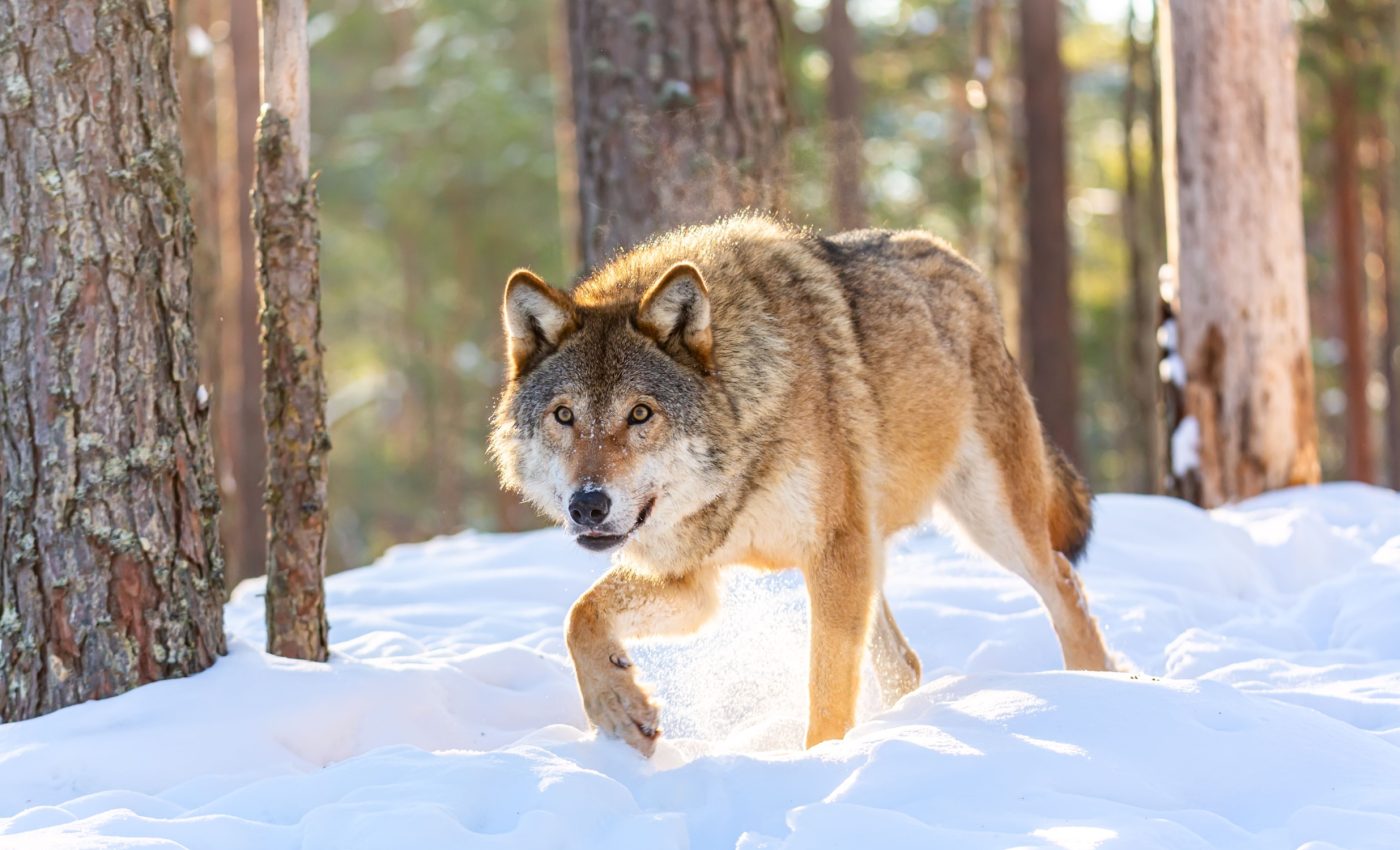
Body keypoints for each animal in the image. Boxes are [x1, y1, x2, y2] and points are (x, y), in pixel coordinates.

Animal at [490, 214, 1114, 757]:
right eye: (564, 416)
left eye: (640, 414)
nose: (588, 506)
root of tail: (962, 263)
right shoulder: (692, 581)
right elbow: (579, 616)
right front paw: (619, 708)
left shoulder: (833, 553)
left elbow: (827, 688)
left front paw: (818, 764)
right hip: (879, 551)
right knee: (904, 663)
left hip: (987, 521)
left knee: (1065, 585)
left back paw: (1097, 695)